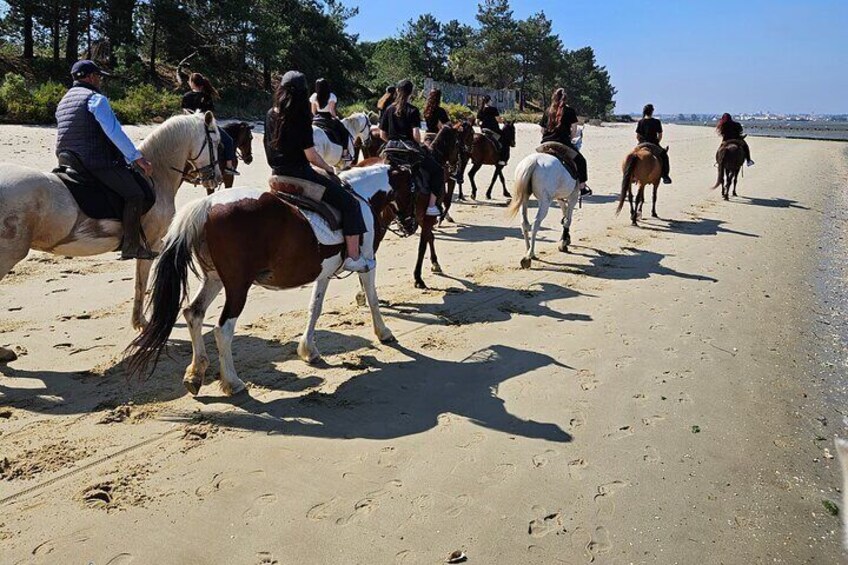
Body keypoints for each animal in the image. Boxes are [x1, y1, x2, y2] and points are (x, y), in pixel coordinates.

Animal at [0, 112, 222, 364]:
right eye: (215, 141)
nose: (216, 178)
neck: (156, 176)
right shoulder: (152, 245)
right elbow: (141, 284)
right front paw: (142, 324)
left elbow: (138, 283)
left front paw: (138, 322)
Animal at [123, 161, 410, 394]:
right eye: (414, 186)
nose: (410, 225)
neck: (360, 197)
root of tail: (206, 205)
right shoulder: (368, 263)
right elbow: (372, 298)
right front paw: (384, 332)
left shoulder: (324, 273)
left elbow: (315, 308)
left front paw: (309, 350)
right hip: (238, 286)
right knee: (222, 329)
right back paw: (233, 382)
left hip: (214, 279)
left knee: (194, 313)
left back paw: (196, 372)